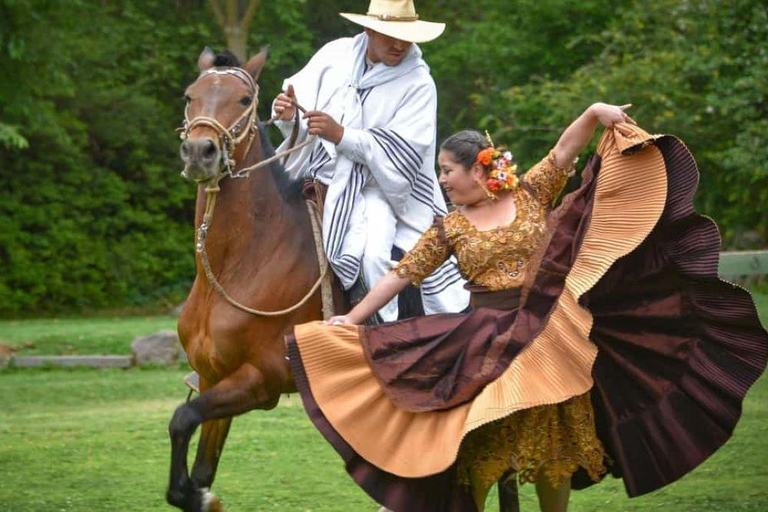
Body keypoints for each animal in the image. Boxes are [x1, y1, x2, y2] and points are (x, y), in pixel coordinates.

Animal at [165, 47, 328, 508]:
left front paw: (202, 498)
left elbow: (182, 417)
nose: (199, 151)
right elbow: (200, 464)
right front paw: (197, 493)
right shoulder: (213, 376)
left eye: (242, 100)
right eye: (190, 95)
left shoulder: (262, 379)